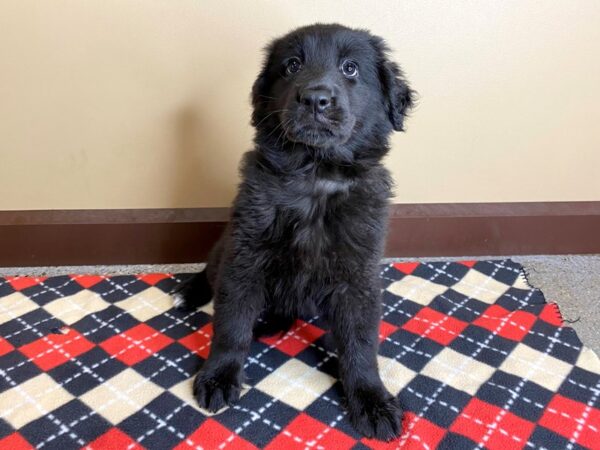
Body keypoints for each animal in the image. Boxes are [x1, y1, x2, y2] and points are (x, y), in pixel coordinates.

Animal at [176, 23, 414, 440]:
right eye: (291, 66)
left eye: (350, 68)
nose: (316, 99)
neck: (315, 175)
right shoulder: (244, 259)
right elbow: (231, 326)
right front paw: (219, 375)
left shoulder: (358, 276)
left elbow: (361, 344)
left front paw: (371, 398)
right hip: (226, 246)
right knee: (210, 270)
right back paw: (194, 292)